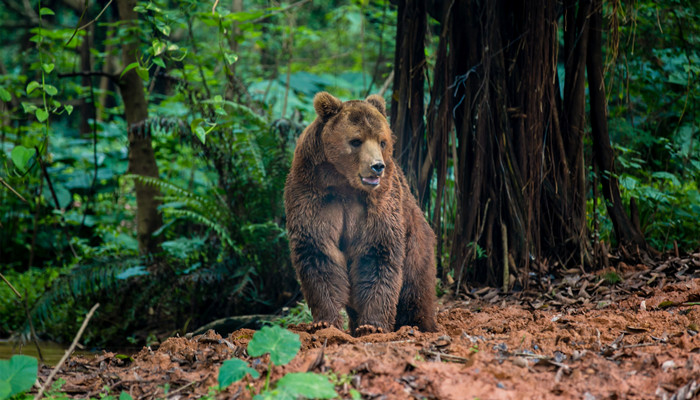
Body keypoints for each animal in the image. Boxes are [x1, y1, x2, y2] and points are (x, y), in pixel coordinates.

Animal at [284, 92, 438, 336]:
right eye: (356, 141)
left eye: (382, 141)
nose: (377, 166)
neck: (343, 182)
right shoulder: (313, 193)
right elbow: (318, 251)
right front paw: (324, 321)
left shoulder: (379, 201)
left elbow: (377, 253)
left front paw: (372, 325)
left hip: (417, 242)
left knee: (415, 287)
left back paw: (418, 324)